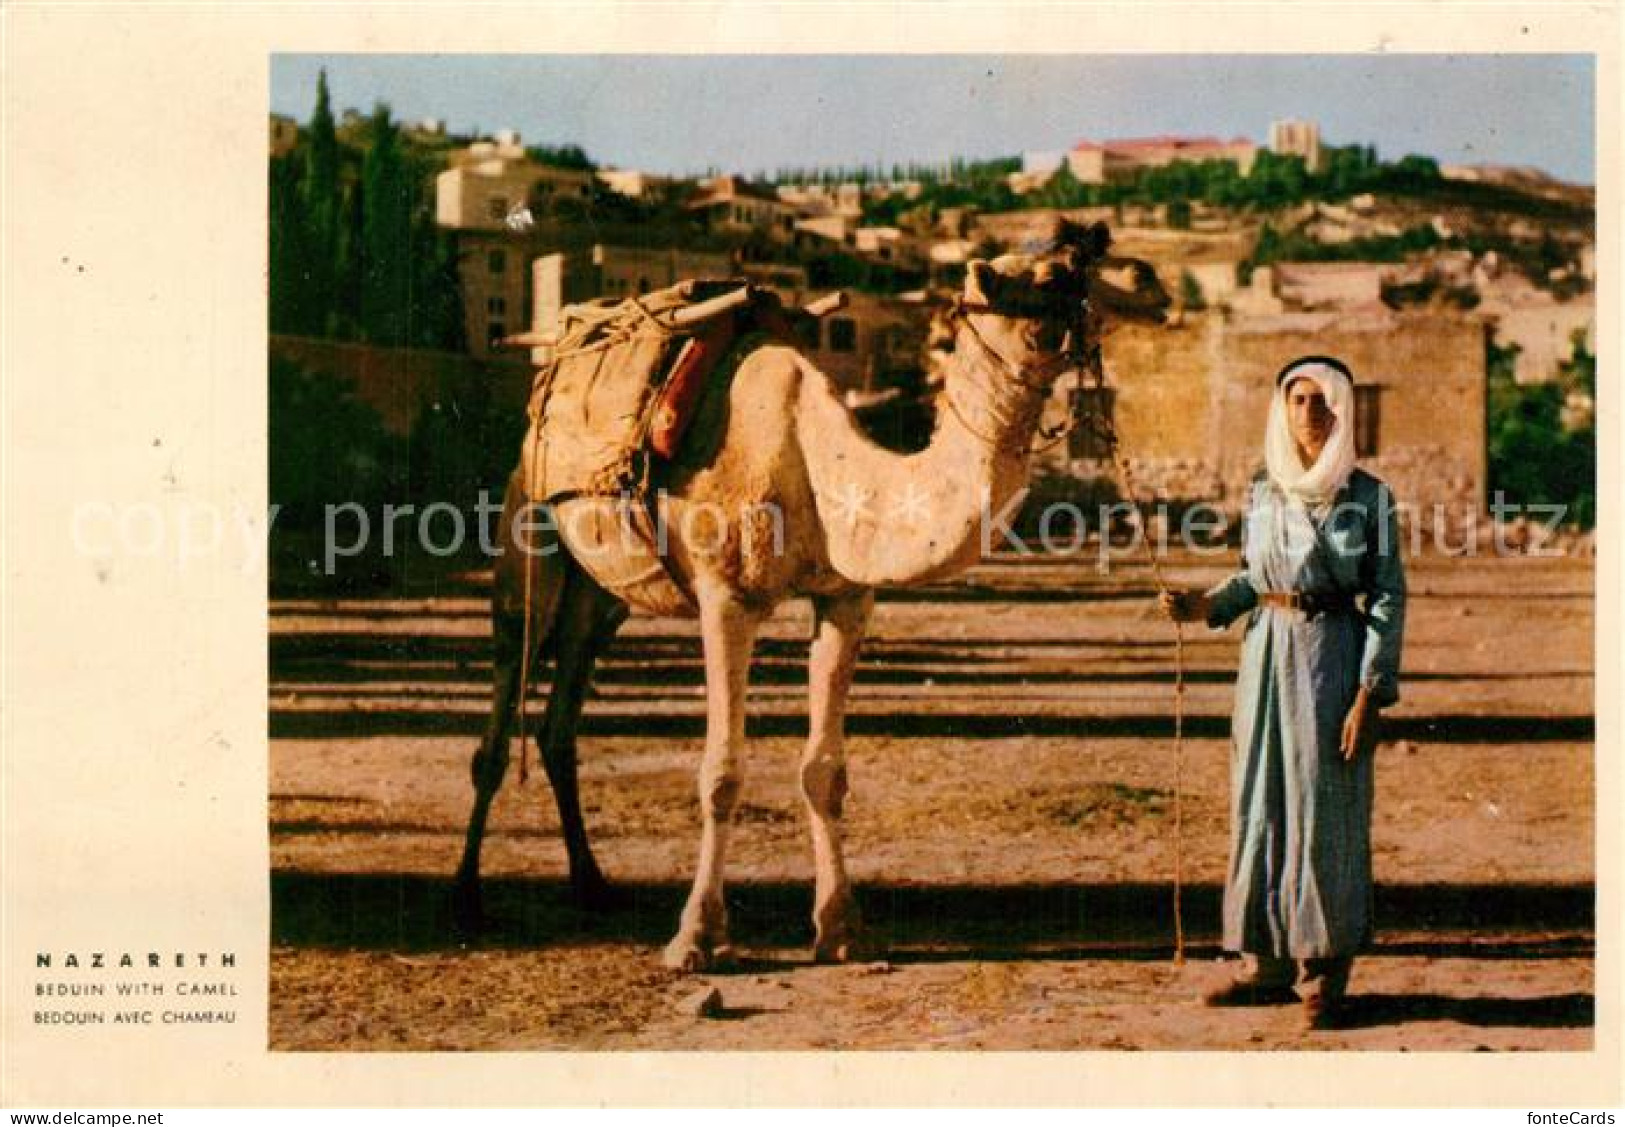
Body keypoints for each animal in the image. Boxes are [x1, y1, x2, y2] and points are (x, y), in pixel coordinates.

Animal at [458, 220, 1170, 974]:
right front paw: (696, 937)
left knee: (561, 720)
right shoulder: (727, 599)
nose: (1150, 280)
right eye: (1052, 274)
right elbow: (721, 773)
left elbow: (824, 770)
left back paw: (591, 882)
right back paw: (467, 893)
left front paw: (841, 929)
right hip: (528, 541)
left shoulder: (845, 599)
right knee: (502, 705)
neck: (820, 462)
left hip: (605, 597)